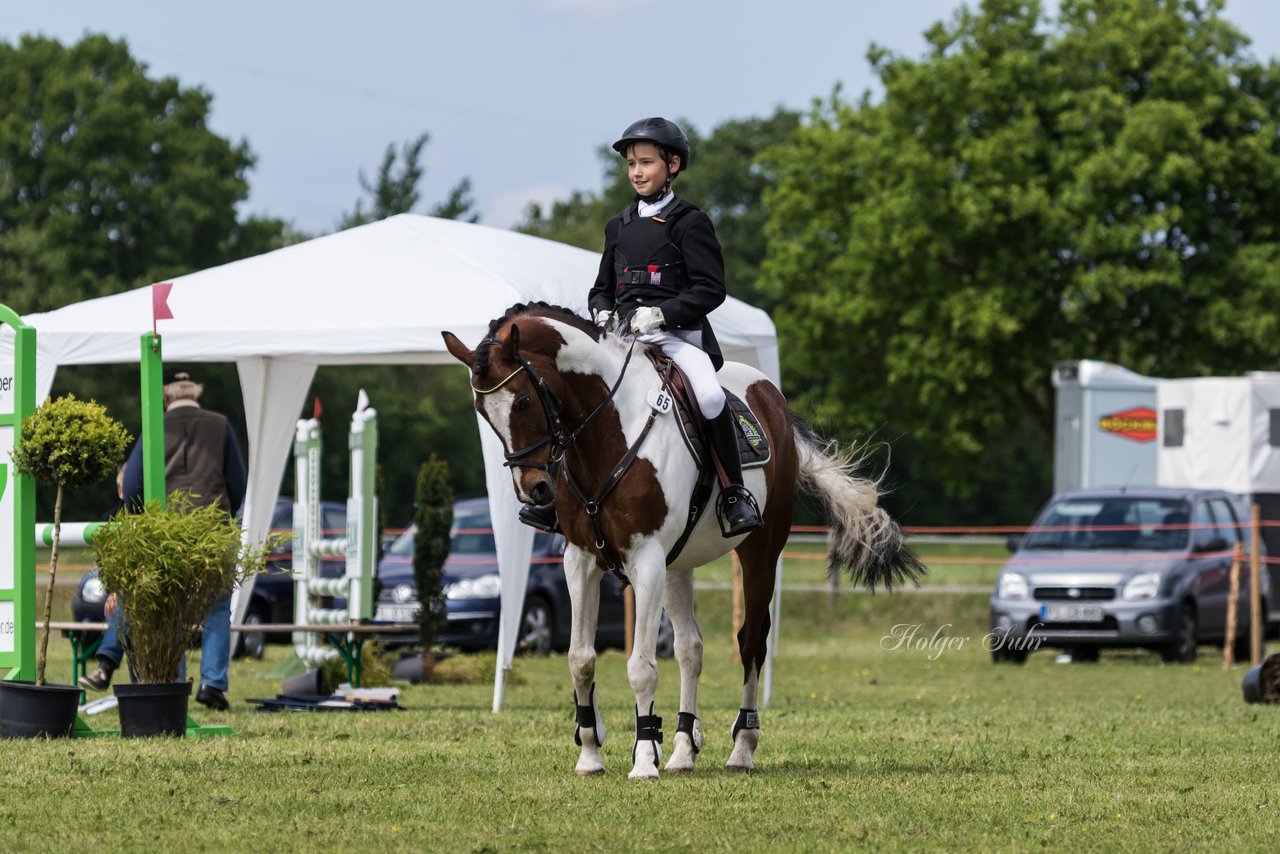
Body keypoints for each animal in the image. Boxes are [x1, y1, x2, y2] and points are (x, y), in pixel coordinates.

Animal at [445, 303, 926, 778]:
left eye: (525, 400)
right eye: (483, 410)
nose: (534, 491)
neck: (608, 431)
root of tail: (772, 397)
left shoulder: (646, 558)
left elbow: (641, 667)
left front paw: (643, 759)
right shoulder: (580, 560)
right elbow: (580, 659)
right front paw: (591, 756)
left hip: (759, 552)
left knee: (751, 641)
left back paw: (742, 748)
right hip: (678, 564)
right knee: (690, 649)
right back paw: (681, 748)